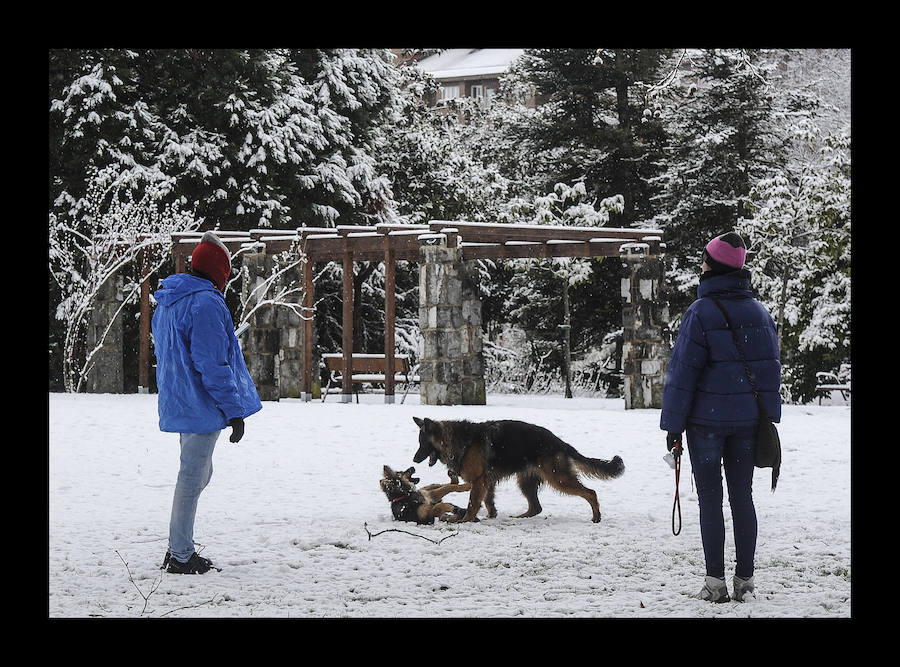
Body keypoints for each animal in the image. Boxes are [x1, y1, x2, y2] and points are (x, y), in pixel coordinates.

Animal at [412, 418, 624, 520]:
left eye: (423, 443)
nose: (414, 460)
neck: (456, 439)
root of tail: (559, 442)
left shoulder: (479, 480)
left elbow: (473, 503)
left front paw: (465, 520)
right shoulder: (487, 481)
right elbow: (487, 501)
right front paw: (491, 515)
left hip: (559, 479)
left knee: (590, 493)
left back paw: (596, 516)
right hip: (526, 482)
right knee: (536, 507)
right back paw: (520, 517)